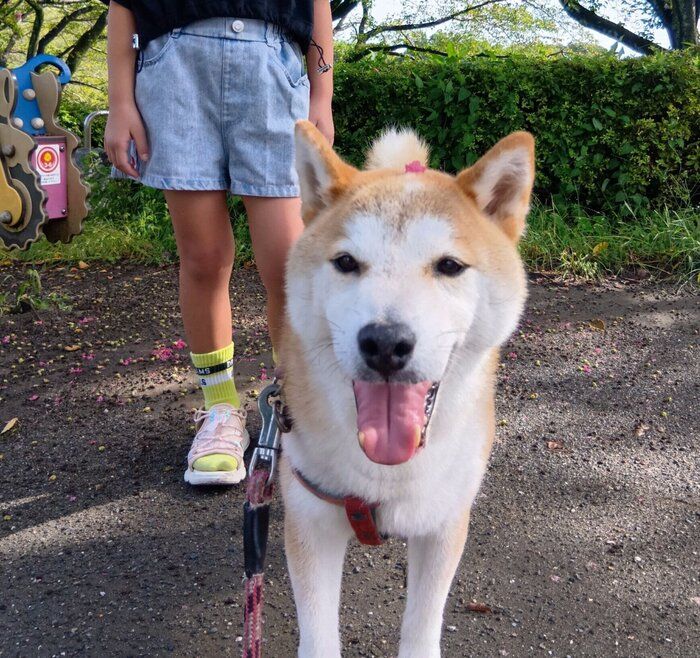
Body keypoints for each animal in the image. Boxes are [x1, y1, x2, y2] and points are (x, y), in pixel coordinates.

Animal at [278, 120, 535, 658]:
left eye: (450, 266)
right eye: (346, 262)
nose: (384, 342)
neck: (387, 473)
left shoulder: (444, 521)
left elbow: (421, 627)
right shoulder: (312, 519)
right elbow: (318, 635)